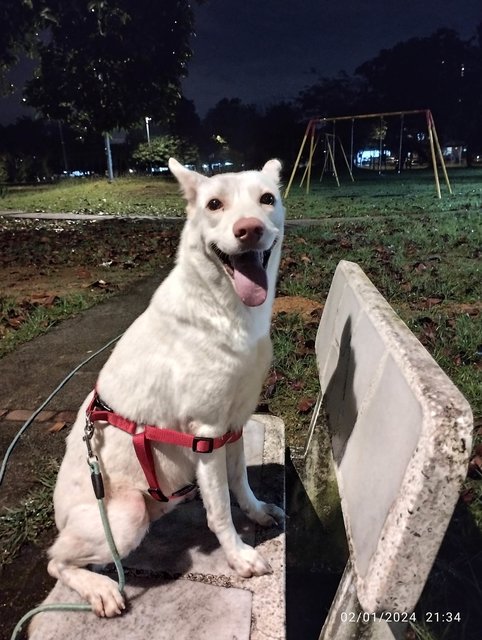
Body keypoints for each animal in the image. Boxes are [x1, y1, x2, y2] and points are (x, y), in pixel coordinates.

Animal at [47, 158, 284, 616]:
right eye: (214, 204)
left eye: (268, 198)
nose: (249, 229)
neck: (225, 310)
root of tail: (58, 517)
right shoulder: (206, 434)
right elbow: (221, 511)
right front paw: (238, 556)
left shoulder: (235, 424)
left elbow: (240, 483)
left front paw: (257, 511)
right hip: (125, 516)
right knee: (56, 561)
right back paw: (99, 589)